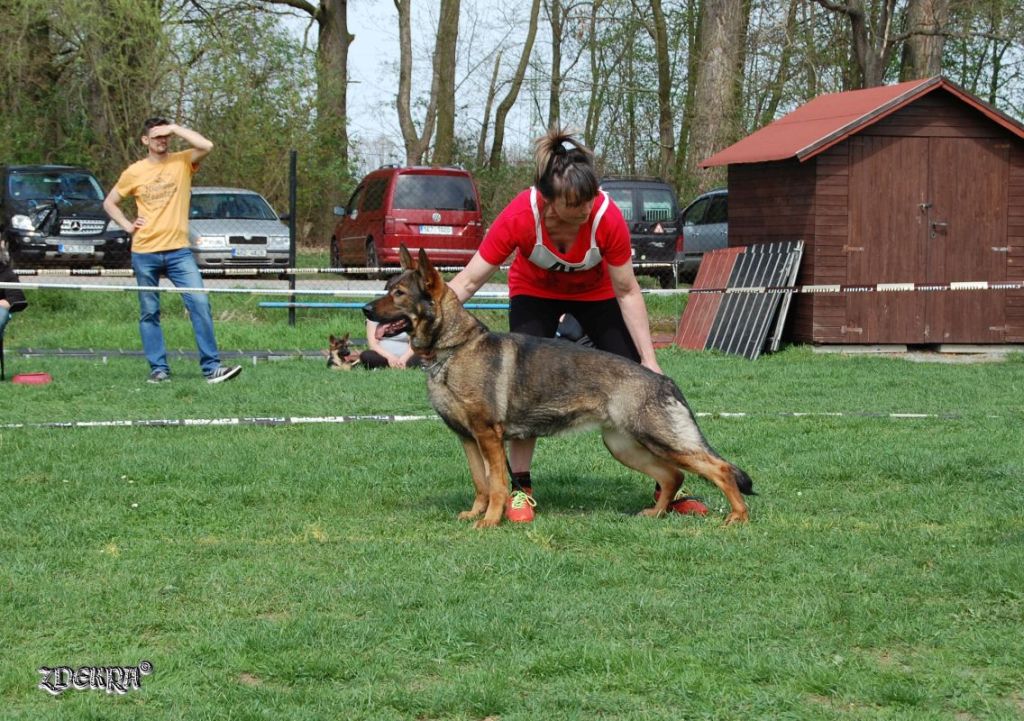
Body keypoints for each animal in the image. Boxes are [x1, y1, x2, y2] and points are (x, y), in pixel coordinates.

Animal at [362, 244, 753, 528]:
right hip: (624, 445)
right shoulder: (468, 439)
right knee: (672, 476)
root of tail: (662, 379)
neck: (453, 348)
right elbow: (480, 482)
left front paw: (489, 522)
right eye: (387, 289)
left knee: (718, 469)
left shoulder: (488, 437)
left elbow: (498, 485)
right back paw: (656, 514)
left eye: (399, 293)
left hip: (660, 439)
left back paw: (737, 517)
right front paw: (476, 513)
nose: (365, 309)